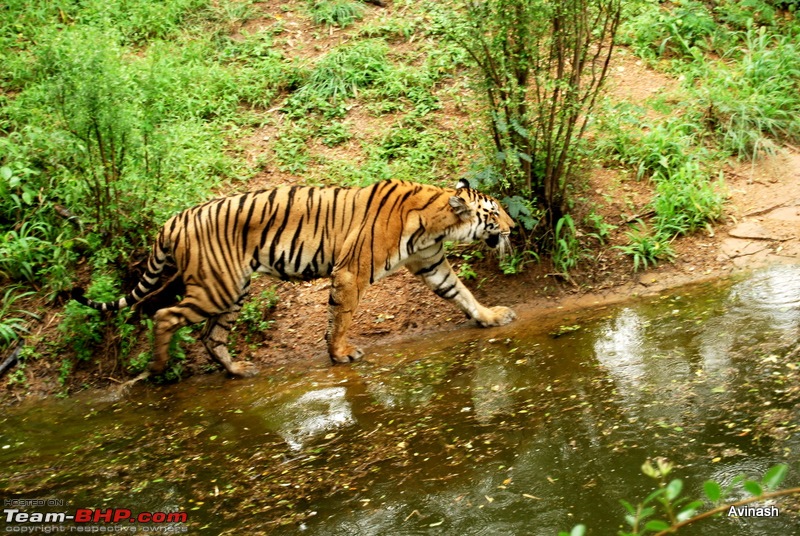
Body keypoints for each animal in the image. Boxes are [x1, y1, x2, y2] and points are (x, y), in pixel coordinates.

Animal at [72, 179, 516, 376]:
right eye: (493, 213)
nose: (514, 228)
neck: (437, 223)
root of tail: (172, 220)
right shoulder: (350, 273)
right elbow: (341, 318)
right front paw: (340, 354)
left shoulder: (430, 264)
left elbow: (462, 293)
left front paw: (492, 317)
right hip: (218, 289)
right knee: (165, 316)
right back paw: (160, 370)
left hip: (234, 291)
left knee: (211, 336)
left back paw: (239, 370)